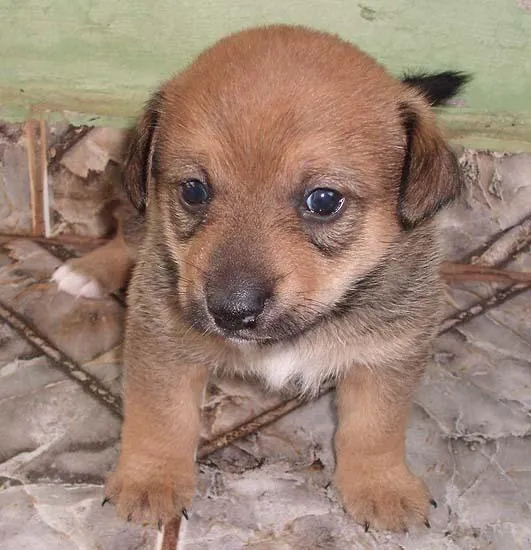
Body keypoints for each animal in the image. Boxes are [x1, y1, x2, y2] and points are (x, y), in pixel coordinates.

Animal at [53, 23, 466, 532]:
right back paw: (84, 271)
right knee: (127, 233)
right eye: (194, 191)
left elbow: (376, 428)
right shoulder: (161, 337)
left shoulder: (389, 353)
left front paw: (381, 487)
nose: (231, 311)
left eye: (323, 200)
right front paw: (151, 481)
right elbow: (161, 418)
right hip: (139, 214)